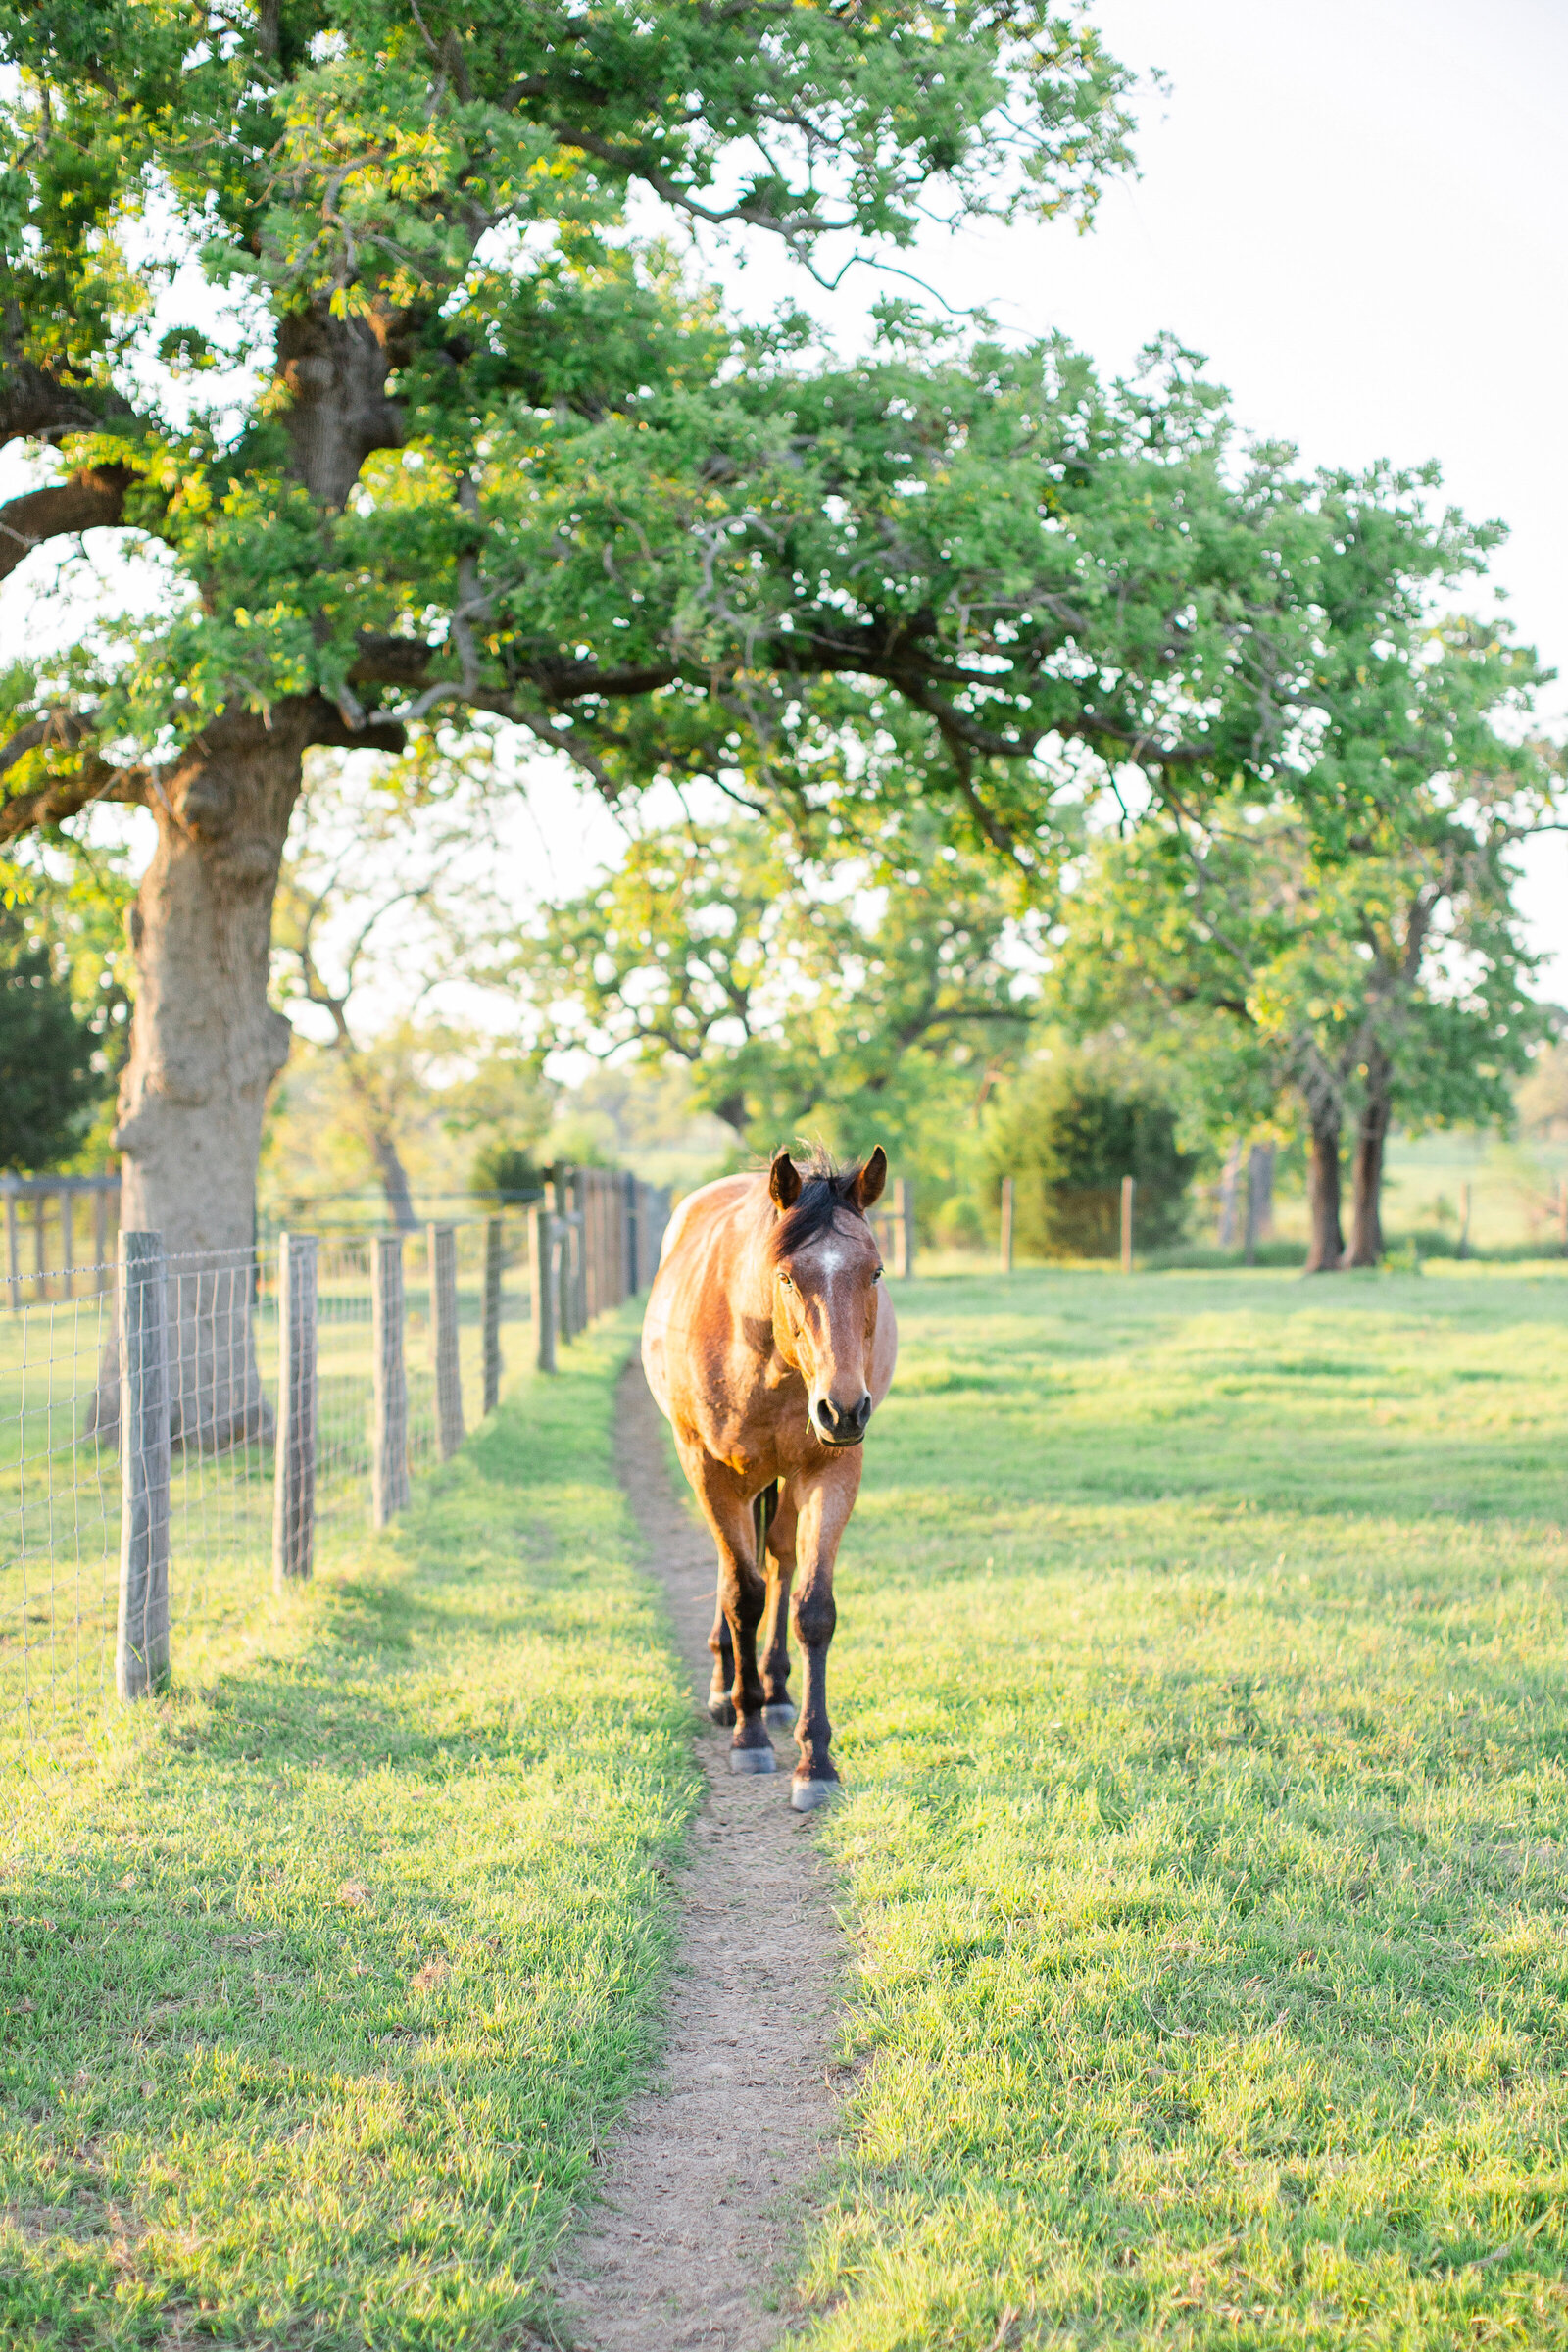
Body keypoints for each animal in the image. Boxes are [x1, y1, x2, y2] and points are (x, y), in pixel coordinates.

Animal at [644, 1148, 903, 1806]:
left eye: (875, 1273)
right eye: (786, 1277)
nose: (844, 1409)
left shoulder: (833, 1470)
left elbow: (813, 1608)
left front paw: (816, 1762)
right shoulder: (710, 1469)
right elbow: (743, 1595)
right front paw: (748, 1732)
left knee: (781, 1557)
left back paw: (778, 1691)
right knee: (734, 1566)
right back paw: (726, 1687)